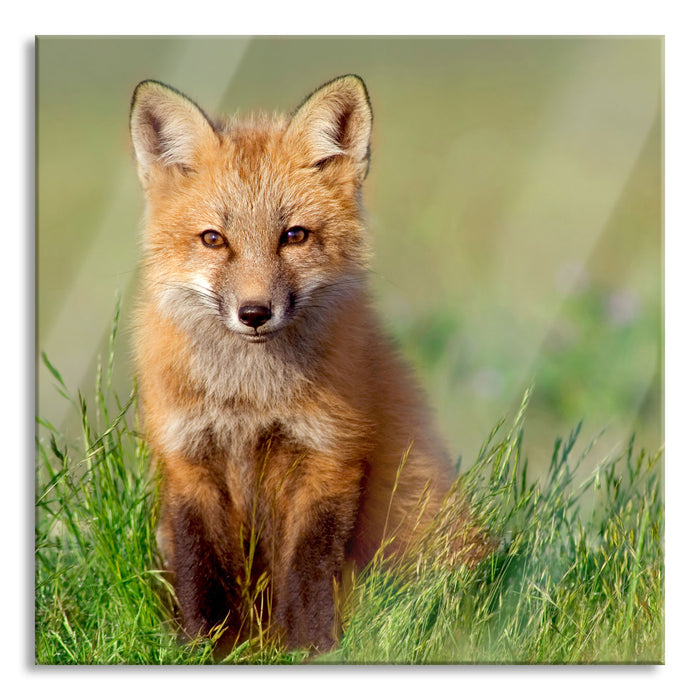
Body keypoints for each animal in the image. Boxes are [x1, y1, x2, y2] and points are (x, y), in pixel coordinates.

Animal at [129, 74, 484, 653]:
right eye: (213, 239)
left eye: (293, 235)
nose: (254, 313)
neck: (250, 400)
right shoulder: (187, 460)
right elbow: (200, 572)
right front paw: (203, 649)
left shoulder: (329, 456)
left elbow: (308, 572)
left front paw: (310, 650)